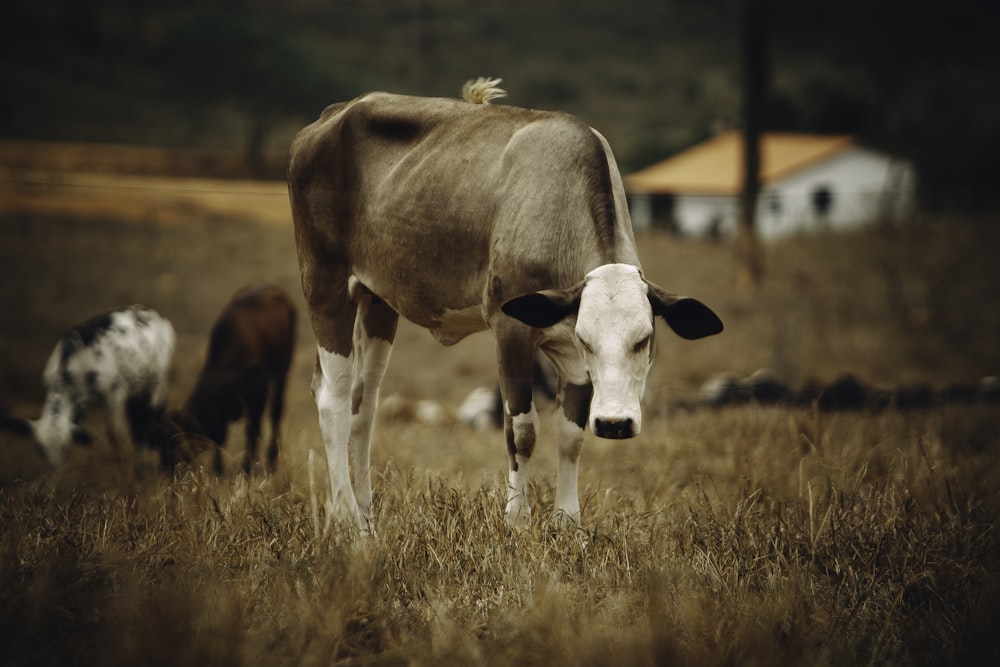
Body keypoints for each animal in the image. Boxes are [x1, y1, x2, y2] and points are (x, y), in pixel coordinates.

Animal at [6, 306, 176, 468]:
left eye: (65, 448)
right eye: (39, 449)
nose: (55, 471)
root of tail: (154, 314)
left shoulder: (115, 392)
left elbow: (116, 433)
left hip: (158, 379)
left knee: (151, 414)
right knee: (138, 416)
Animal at [286, 78, 724, 528]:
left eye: (644, 339)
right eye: (588, 340)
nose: (615, 422)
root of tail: (334, 114)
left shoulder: (568, 355)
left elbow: (571, 436)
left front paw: (568, 522)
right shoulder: (511, 330)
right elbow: (522, 431)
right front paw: (517, 518)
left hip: (377, 301)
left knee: (363, 405)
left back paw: (366, 518)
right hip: (324, 283)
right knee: (333, 400)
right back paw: (345, 518)